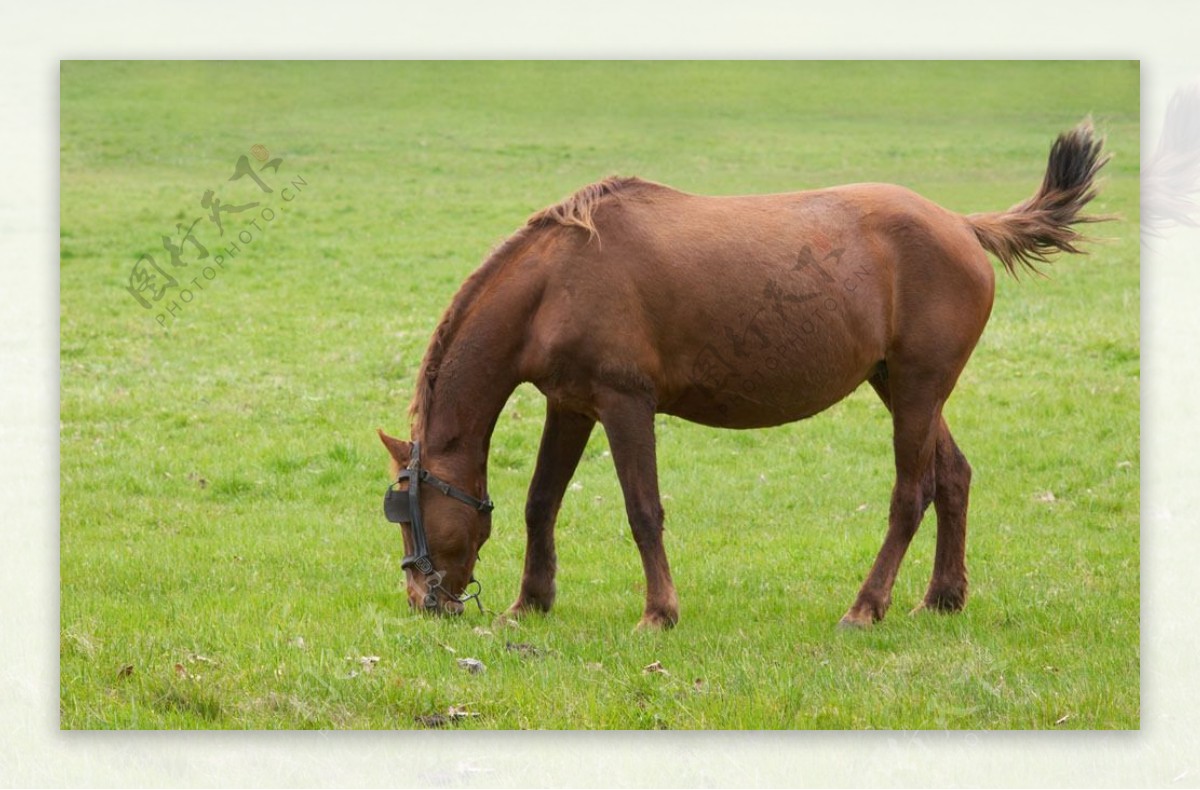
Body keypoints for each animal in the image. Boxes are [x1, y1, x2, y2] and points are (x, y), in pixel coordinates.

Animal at [379, 120, 1108, 629]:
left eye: (406, 512)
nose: (421, 599)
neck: (555, 281)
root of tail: (960, 223)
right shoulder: (572, 406)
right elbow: (541, 502)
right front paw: (530, 603)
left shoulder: (623, 404)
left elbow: (643, 510)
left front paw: (659, 612)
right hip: (900, 384)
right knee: (953, 477)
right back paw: (942, 597)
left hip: (917, 388)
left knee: (913, 492)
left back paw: (865, 606)